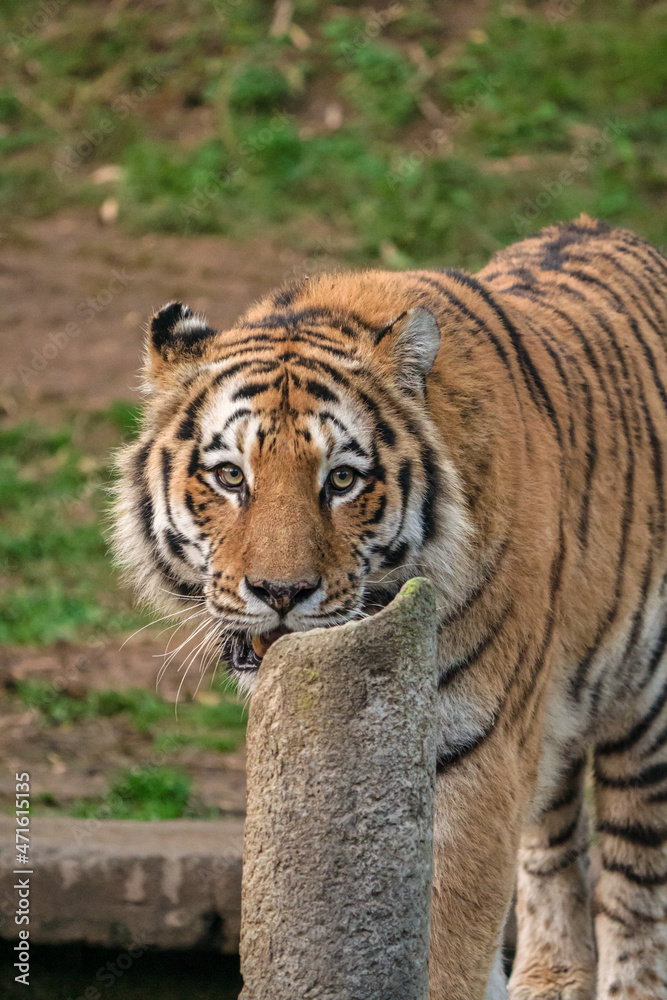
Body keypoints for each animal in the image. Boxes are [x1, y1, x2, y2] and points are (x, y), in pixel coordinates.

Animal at [112, 215, 667, 1000]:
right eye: (229, 476)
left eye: (343, 480)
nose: (280, 594)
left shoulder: (479, 750)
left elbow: (450, 939)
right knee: (554, 847)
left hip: (643, 715)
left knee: (634, 877)